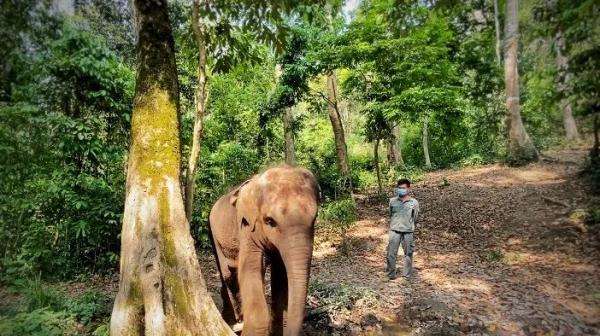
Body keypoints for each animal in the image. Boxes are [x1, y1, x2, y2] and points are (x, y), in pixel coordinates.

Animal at [209, 165, 318, 336]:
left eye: (315, 217)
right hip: (213, 234)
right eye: (269, 221)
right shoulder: (246, 226)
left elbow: (280, 275)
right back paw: (234, 321)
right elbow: (251, 268)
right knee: (227, 275)